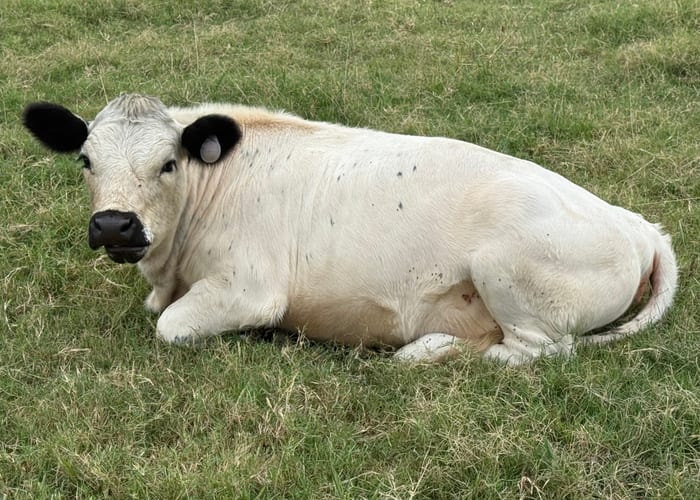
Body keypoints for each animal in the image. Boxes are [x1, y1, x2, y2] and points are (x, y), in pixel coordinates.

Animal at [22, 94, 677, 364]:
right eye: (85, 161)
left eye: (168, 163)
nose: (114, 225)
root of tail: (639, 227)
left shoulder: (249, 289)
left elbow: (170, 326)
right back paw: (432, 345)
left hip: (506, 271)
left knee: (537, 351)